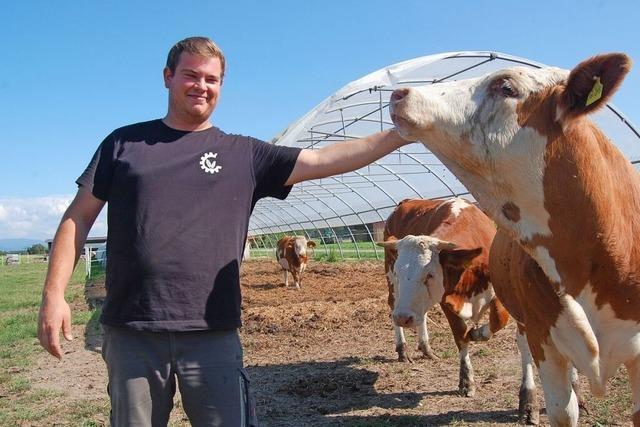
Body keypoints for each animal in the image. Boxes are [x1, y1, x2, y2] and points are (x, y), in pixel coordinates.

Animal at [378, 199, 516, 402]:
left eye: (430, 274)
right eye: (398, 272)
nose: (403, 318)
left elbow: (499, 319)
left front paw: (477, 333)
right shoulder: (446, 302)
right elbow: (461, 336)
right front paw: (466, 381)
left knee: (422, 315)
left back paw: (426, 348)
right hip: (393, 288)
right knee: (394, 306)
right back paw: (402, 349)